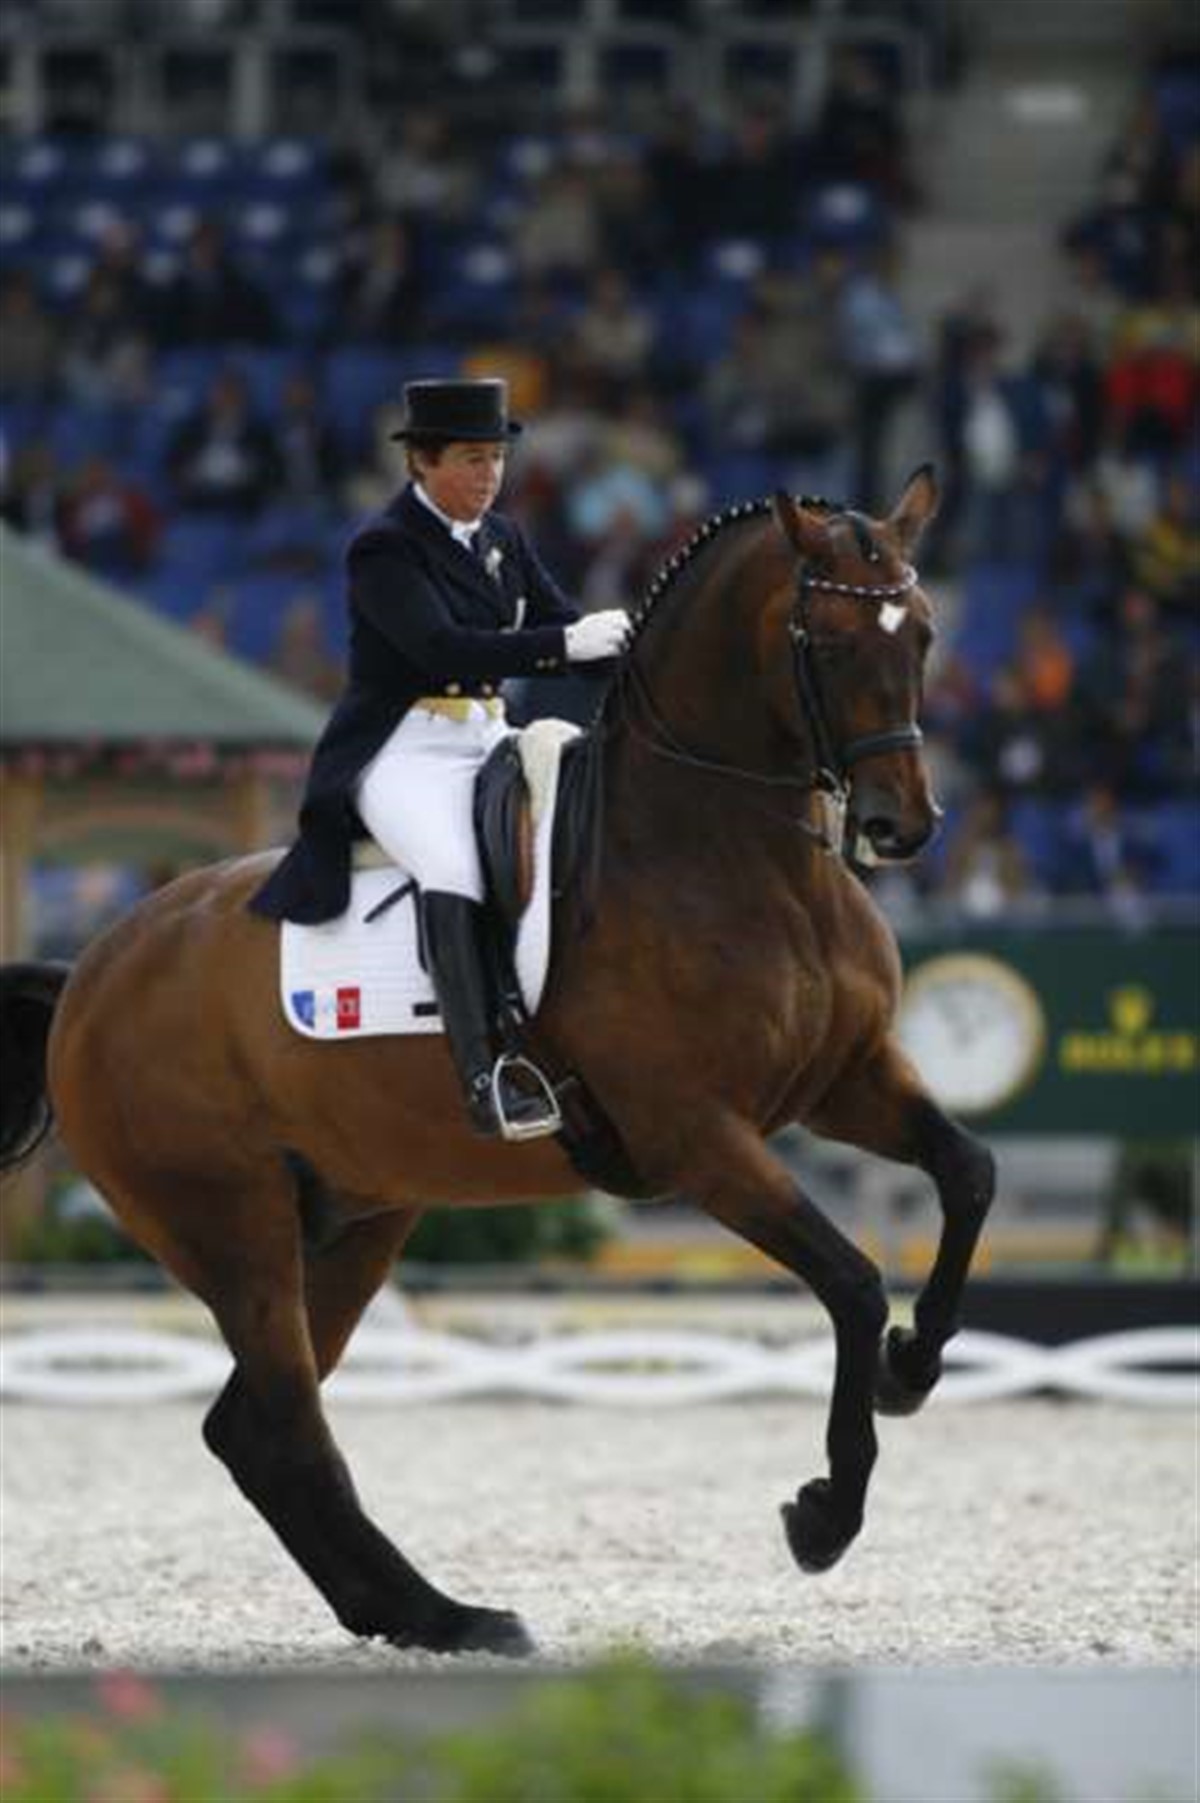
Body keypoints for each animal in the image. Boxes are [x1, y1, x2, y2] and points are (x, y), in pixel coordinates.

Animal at [0, 468, 995, 1658]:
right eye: (829, 641)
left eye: (925, 632)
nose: (903, 827)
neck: (731, 855)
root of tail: (92, 973)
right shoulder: (698, 1137)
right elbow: (848, 1278)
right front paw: (824, 1514)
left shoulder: (847, 1081)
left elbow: (969, 1173)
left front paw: (911, 1367)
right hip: (232, 1226)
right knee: (284, 1426)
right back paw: (451, 1614)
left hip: (356, 1218)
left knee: (251, 1428)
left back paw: (428, 1616)